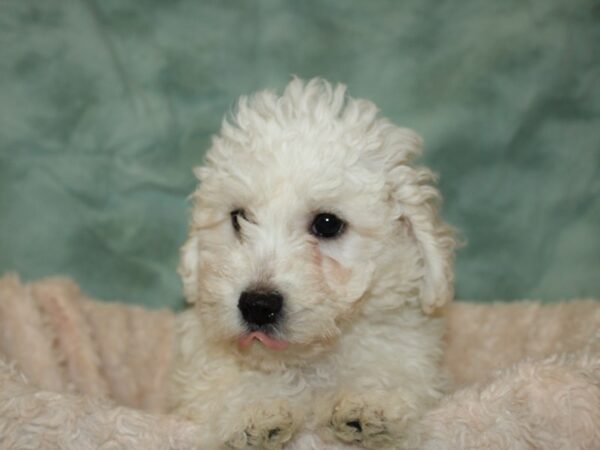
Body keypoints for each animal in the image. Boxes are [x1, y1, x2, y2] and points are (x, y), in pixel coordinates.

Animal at [169, 78, 454, 450]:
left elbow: (389, 370)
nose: (257, 305)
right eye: (239, 217)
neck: (306, 362)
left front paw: (368, 403)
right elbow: (224, 386)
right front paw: (255, 412)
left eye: (327, 224)